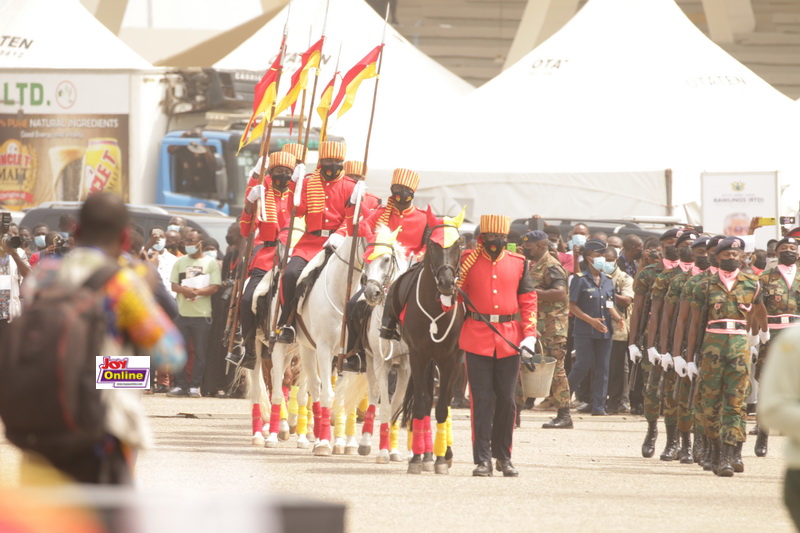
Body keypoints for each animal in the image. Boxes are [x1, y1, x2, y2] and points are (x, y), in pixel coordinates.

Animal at [264, 238, 364, 458]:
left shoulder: (348, 356)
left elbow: (343, 397)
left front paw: (341, 442)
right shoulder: (324, 349)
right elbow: (328, 393)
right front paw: (326, 443)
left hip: (306, 349)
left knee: (312, 386)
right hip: (283, 345)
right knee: (278, 384)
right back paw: (275, 434)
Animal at [392, 220, 466, 474]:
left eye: (458, 245)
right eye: (432, 245)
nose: (446, 283)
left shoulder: (451, 360)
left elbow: (443, 406)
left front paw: (442, 459)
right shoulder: (418, 356)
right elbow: (422, 404)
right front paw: (417, 458)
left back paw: (444, 452)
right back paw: (425, 454)